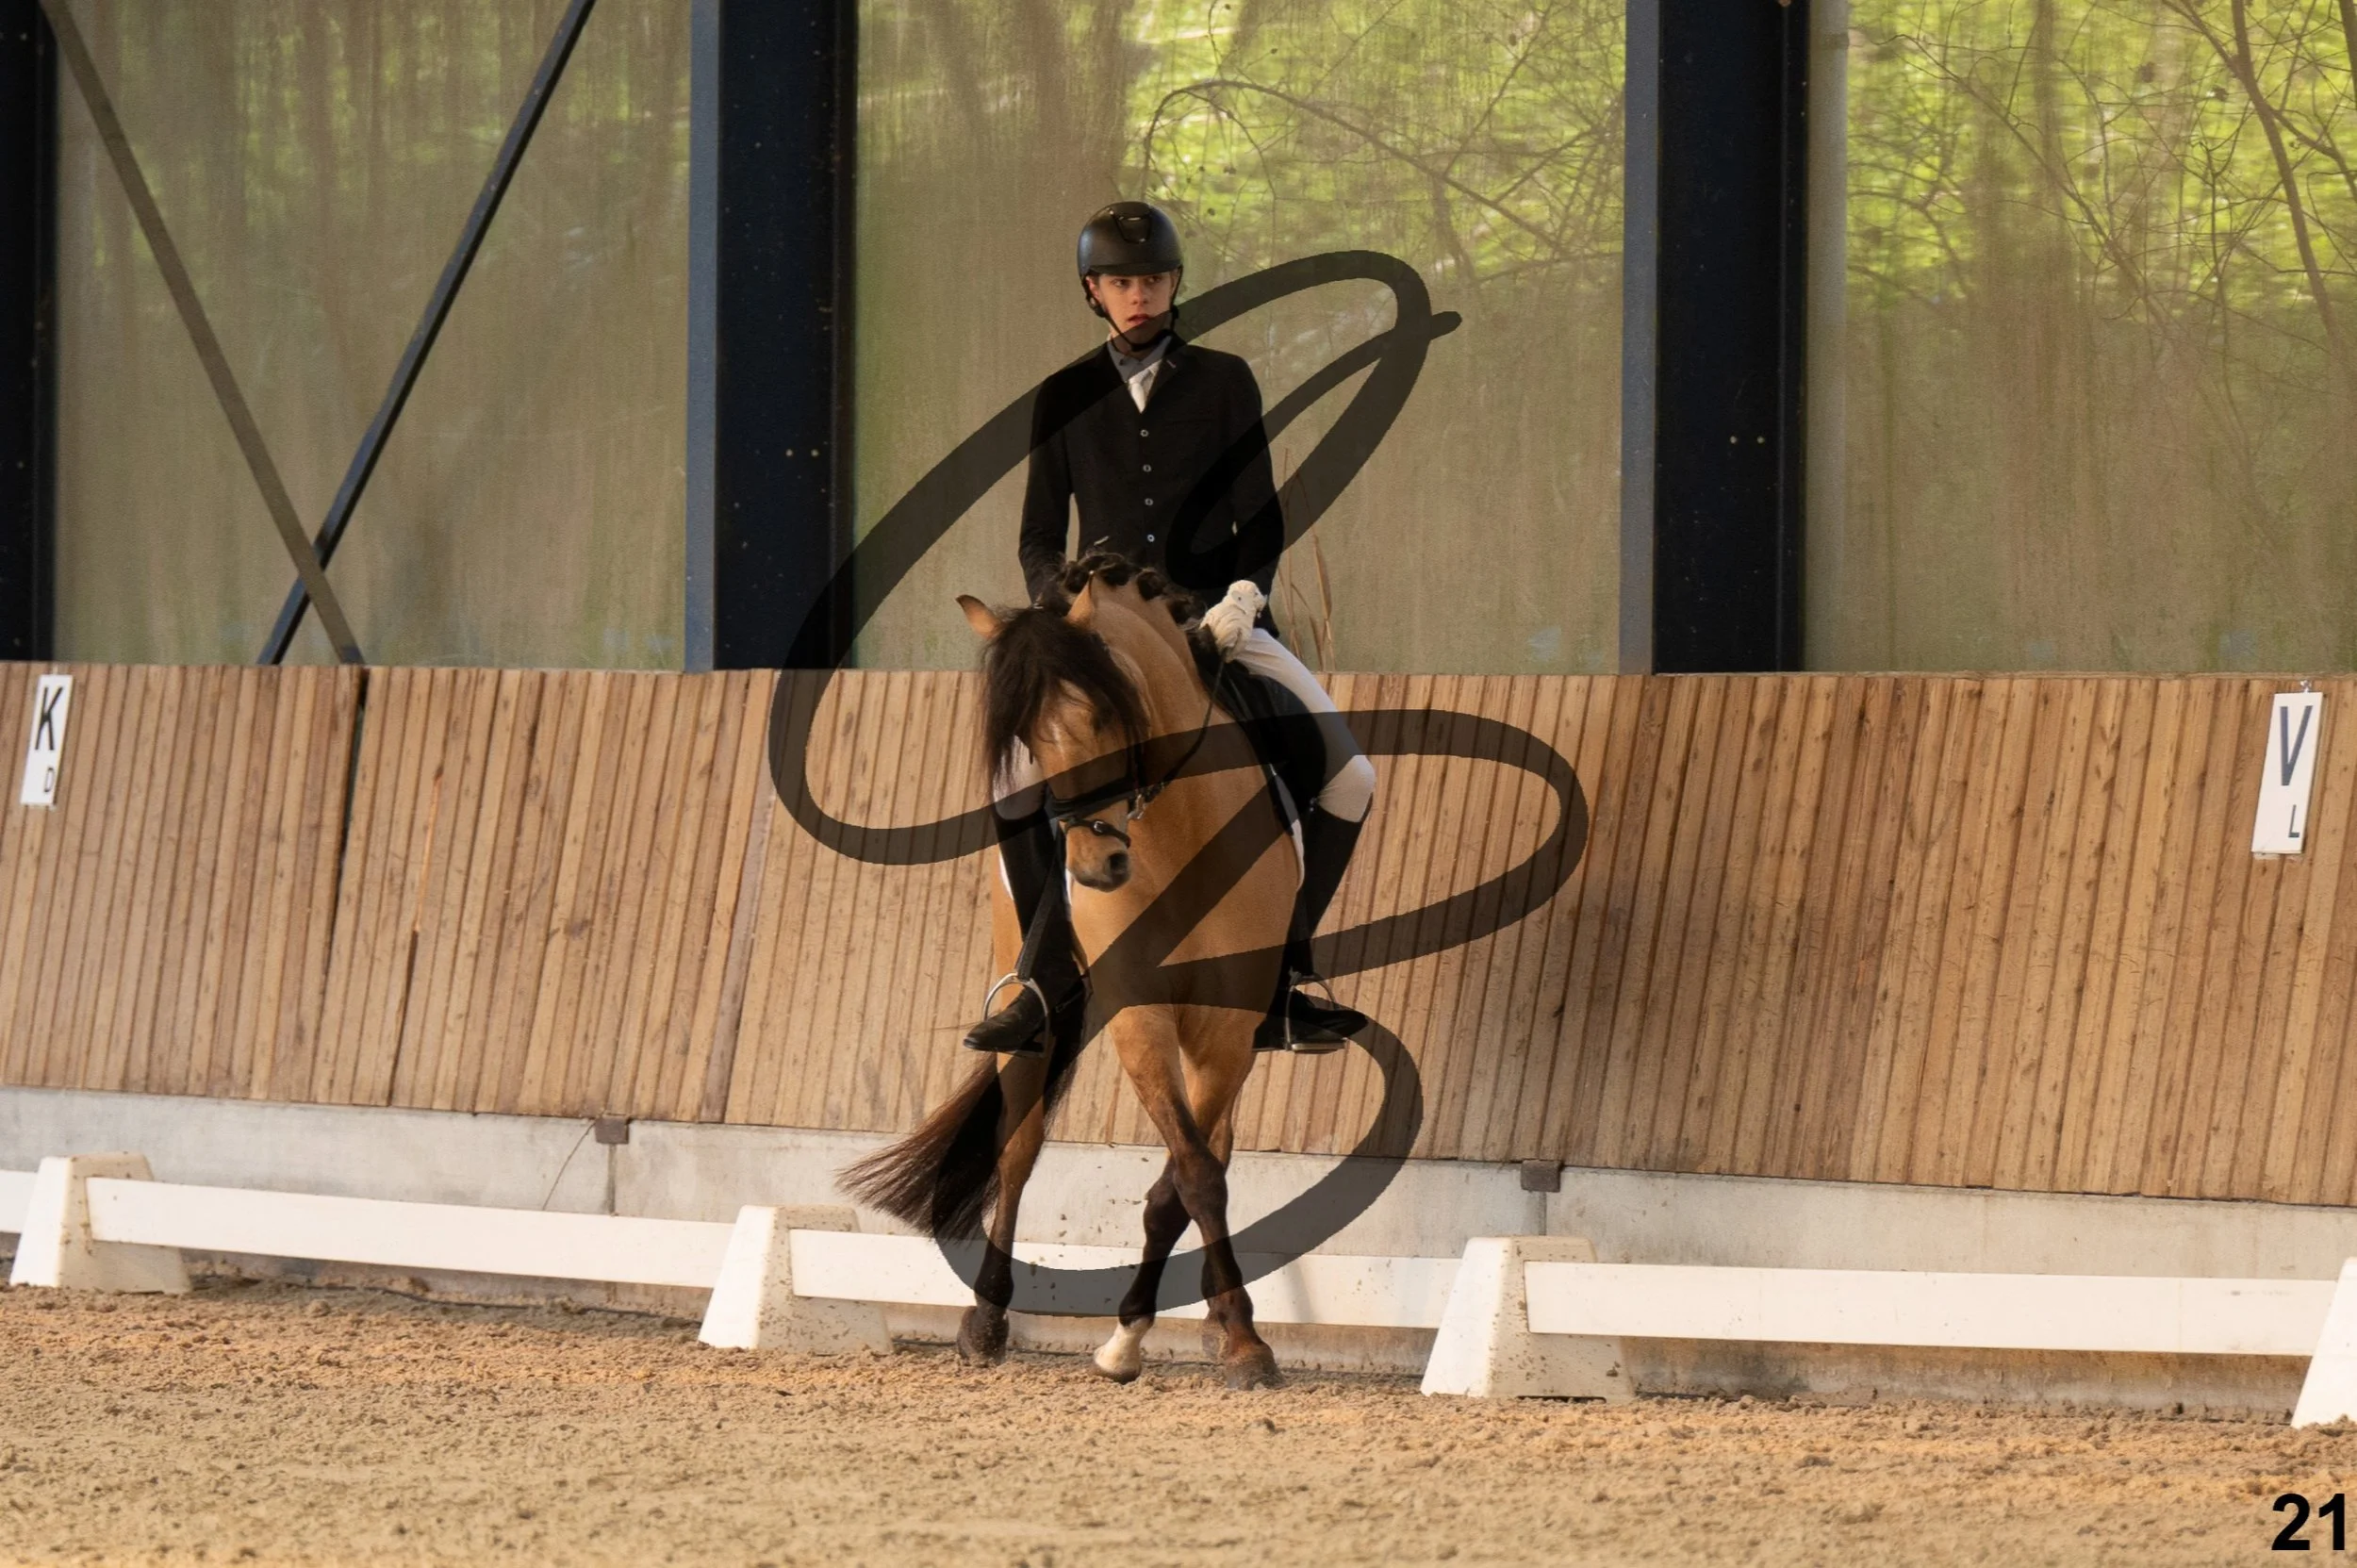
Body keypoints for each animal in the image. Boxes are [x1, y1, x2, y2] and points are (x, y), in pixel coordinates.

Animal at [843, 553, 1297, 1390]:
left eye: (1105, 714)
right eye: (1026, 735)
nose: (1093, 869)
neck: (1178, 836)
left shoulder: (1227, 1027)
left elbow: (1187, 1176)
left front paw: (1219, 1334)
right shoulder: (1140, 1015)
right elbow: (1190, 1171)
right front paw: (1164, 1337)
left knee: (1211, 1145)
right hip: (1031, 1013)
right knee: (1017, 1150)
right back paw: (986, 1319)